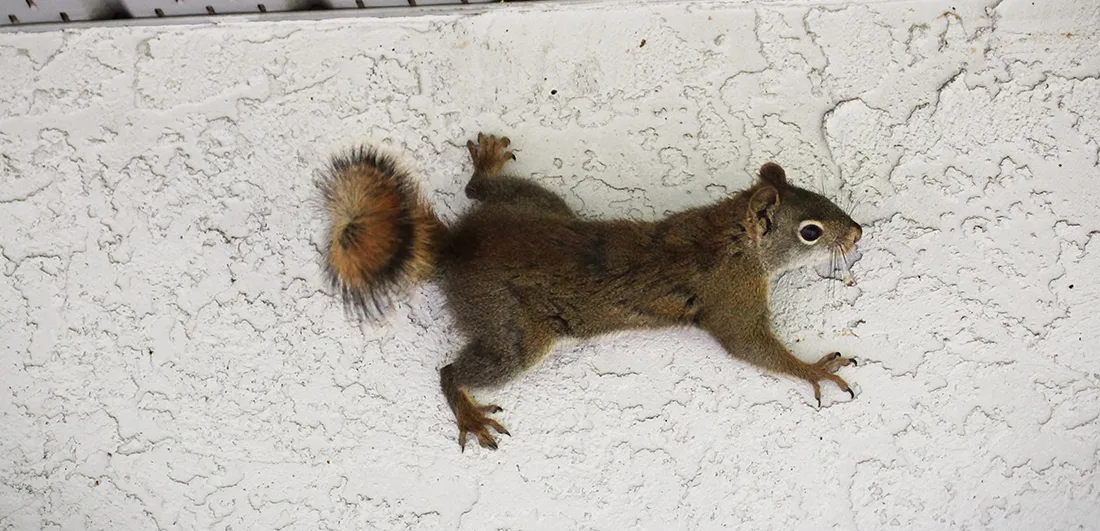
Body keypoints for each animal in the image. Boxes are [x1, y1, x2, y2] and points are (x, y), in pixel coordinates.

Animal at [318, 132, 863, 451]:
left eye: (824, 197)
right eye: (810, 231)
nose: (858, 233)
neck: (730, 234)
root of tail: (458, 246)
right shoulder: (730, 296)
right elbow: (749, 345)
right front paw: (814, 369)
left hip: (538, 204)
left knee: (478, 193)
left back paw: (488, 166)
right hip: (515, 330)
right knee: (453, 370)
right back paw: (469, 413)